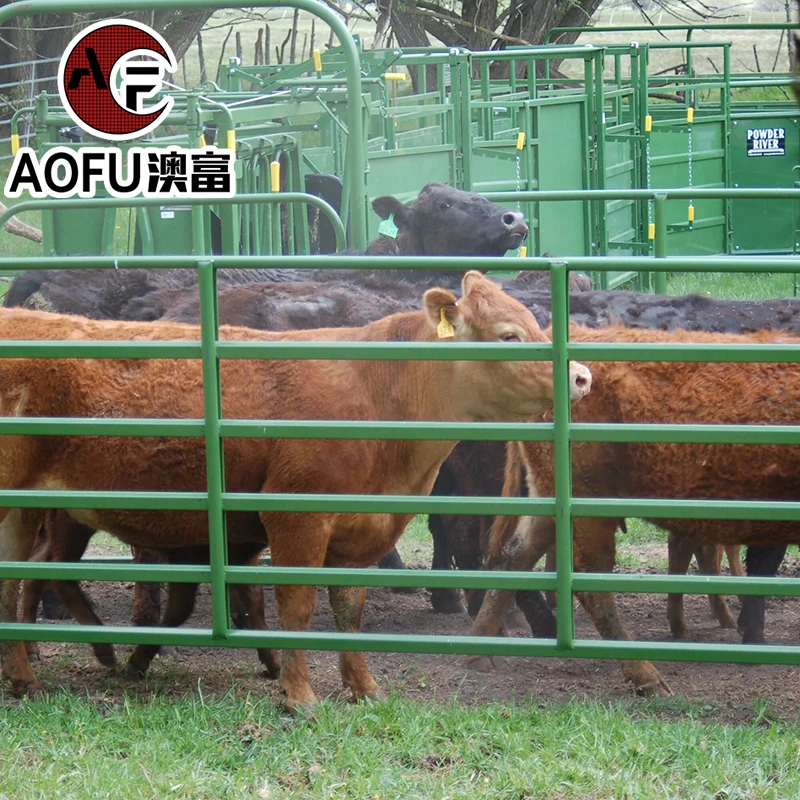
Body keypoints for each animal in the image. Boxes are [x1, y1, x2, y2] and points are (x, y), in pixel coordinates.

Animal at [0, 272, 592, 712]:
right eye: (510, 335)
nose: (583, 376)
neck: (378, 389)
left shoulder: (358, 534)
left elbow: (348, 611)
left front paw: (363, 687)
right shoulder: (295, 518)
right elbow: (298, 605)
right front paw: (299, 694)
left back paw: (47, 667)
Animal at [467, 323, 800, 696]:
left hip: (548, 498)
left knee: (515, 556)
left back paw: (479, 653)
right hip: (588, 508)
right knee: (590, 582)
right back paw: (647, 676)